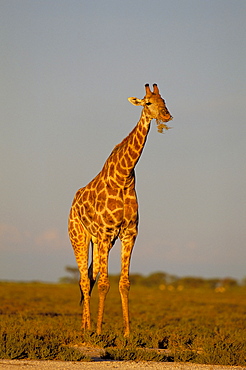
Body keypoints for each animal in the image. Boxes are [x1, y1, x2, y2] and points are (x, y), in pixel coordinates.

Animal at [68, 84, 173, 338]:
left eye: (164, 101)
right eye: (148, 103)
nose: (167, 116)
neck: (124, 177)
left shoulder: (128, 233)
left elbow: (124, 283)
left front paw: (127, 333)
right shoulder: (107, 233)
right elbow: (104, 283)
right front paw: (99, 331)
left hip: (97, 241)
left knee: (88, 277)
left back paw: (85, 326)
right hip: (79, 236)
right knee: (85, 280)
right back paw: (87, 330)